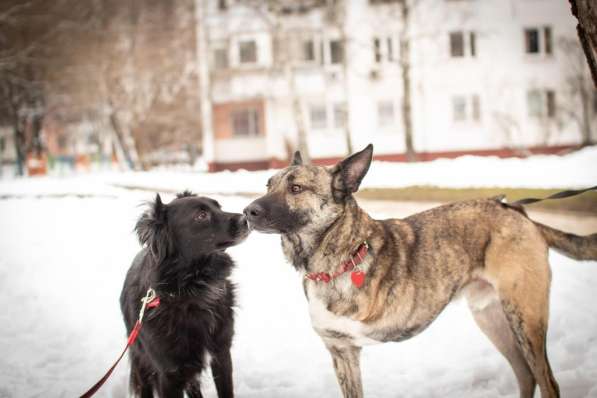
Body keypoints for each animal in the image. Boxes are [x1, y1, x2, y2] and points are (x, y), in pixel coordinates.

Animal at [120, 191, 248, 396]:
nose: (246, 218)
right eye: (201, 215)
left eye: (219, 206)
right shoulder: (169, 374)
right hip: (142, 360)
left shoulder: (221, 355)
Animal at [242, 144, 596, 398]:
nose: (247, 212)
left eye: (296, 189)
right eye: (268, 184)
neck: (340, 257)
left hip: (525, 317)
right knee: (526, 376)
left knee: (547, 381)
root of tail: (516, 210)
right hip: (492, 317)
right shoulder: (342, 352)